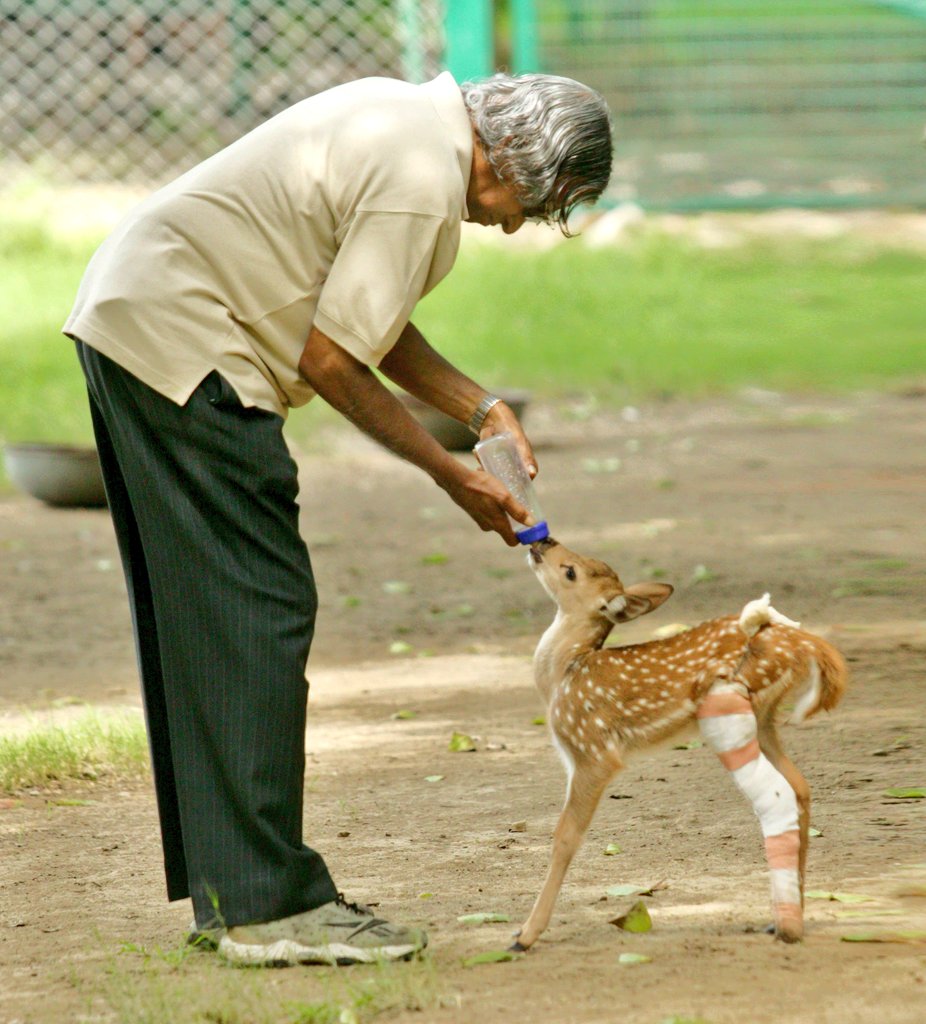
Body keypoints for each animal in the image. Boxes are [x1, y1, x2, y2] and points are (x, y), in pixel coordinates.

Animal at [512, 535, 847, 953]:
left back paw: (787, 926)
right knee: (800, 785)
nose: (543, 541)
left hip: (730, 713)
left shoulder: (592, 750)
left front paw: (525, 935)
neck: (563, 672)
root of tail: (806, 642)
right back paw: (786, 915)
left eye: (570, 571)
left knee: (780, 792)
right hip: (764, 717)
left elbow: (564, 837)